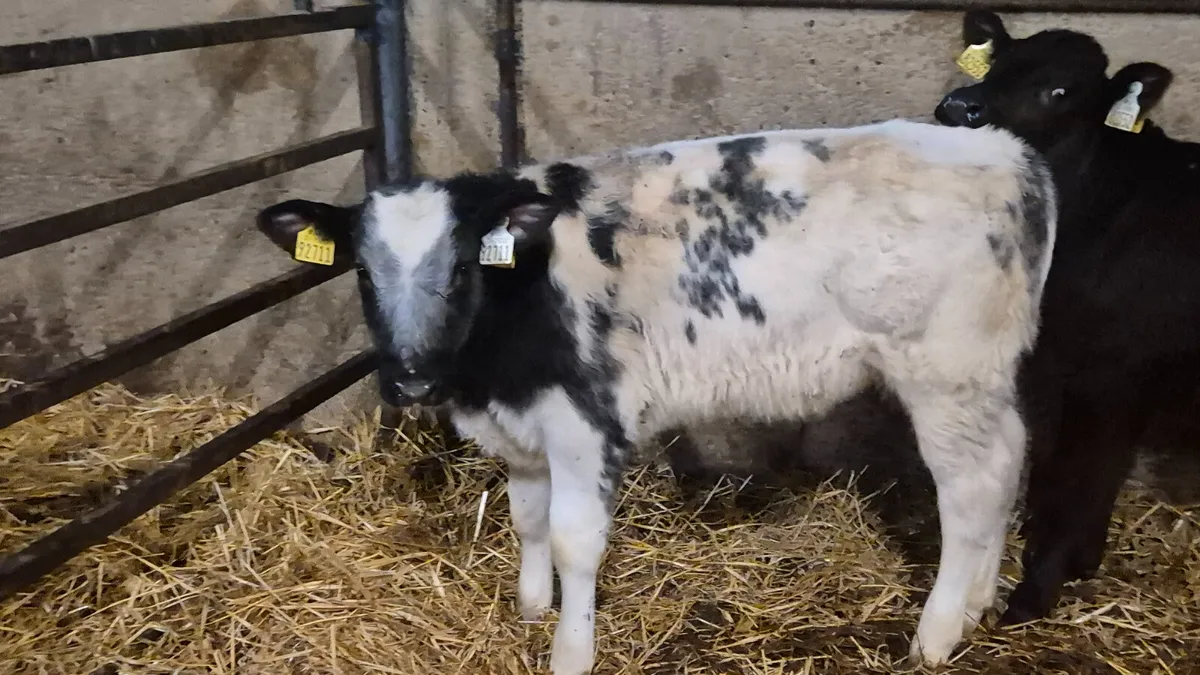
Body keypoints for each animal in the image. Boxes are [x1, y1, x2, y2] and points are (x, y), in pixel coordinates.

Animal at [253, 119, 1057, 672]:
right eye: (362, 271)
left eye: (458, 267)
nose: (412, 379)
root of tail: (1008, 152)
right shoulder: (523, 428)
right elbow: (527, 519)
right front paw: (530, 608)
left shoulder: (584, 421)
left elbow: (575, 539)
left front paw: (570, 650)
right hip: (984, 378)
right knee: (1009, 460)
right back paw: (979, 602)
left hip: (946, 373)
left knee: (971, 490)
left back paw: (937, 633)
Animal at [936, 10, 1200, 625]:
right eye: (997, 64)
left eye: (1059, 91)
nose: (960, 107)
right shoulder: (1055, 364)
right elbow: (1056, 463)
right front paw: (1070, 551)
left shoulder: (1116, 374)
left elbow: (1087, 472)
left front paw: (1039, 588)